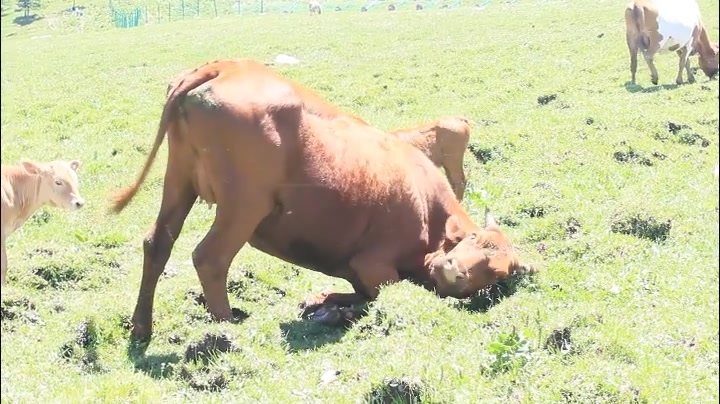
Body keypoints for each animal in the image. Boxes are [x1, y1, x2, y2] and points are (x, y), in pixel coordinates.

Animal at [108, 59, 536, 344]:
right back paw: (228, 325)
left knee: (158, 242)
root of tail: (226, 67)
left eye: (496, 273)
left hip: (179, 183)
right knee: (210, 257)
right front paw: (333, 309)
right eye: (474, 241)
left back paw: (142, 326)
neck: (429, 214)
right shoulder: (374, 263)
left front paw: (323, 302)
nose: (453, 270)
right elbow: (382, 290)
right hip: (244, 206)